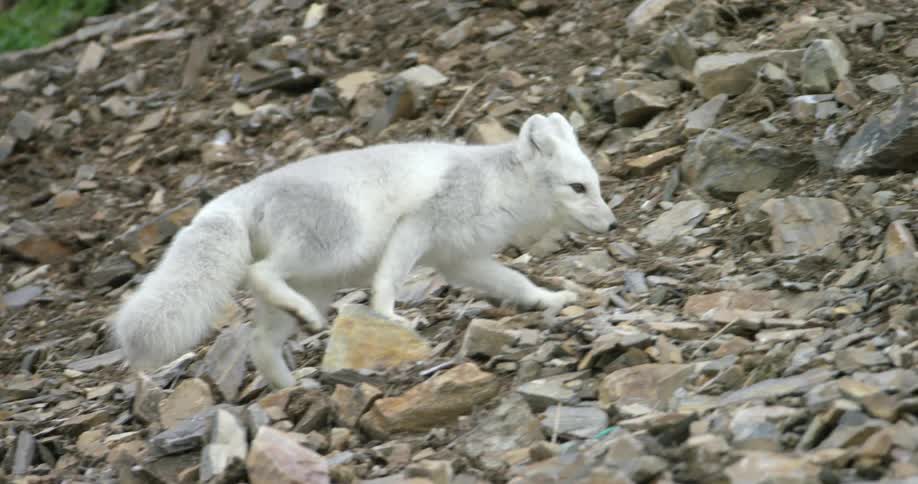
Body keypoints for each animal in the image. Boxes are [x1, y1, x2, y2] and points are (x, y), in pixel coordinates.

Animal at [112, 112, 618, 389]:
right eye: (578, 188)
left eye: (596, 185)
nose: (613, 224)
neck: (498, 185)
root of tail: (241, 193)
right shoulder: (417, 226)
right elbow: (388, 279)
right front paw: (389, 316)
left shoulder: (462, 260)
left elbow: (517, 283)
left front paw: (551, 299)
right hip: (335, 245)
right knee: (261, 273)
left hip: (315, 284)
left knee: (259, 342)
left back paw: (292, 386)